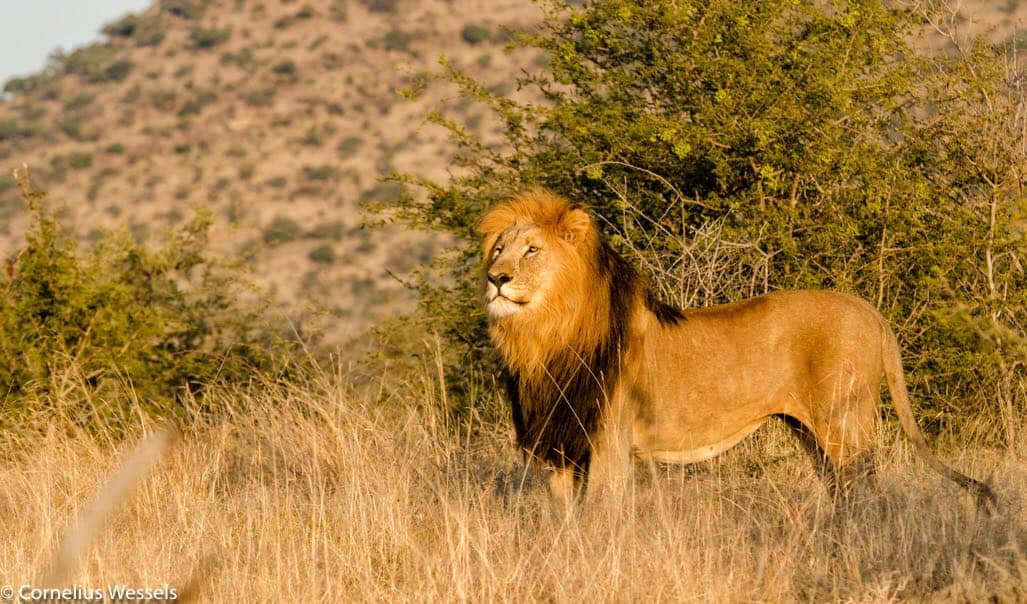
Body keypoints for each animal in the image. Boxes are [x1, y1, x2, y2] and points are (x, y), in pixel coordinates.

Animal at [478, 190, 994, 509]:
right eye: (499, 249)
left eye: (531, 250)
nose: (495, 278)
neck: (545, 337)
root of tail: (868, 308)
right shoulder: (561, 446)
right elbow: (564, 520)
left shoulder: (609, 443)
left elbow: (600, 517)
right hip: (810, 432)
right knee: (841, 490)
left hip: (845, 422)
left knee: (867, 489)